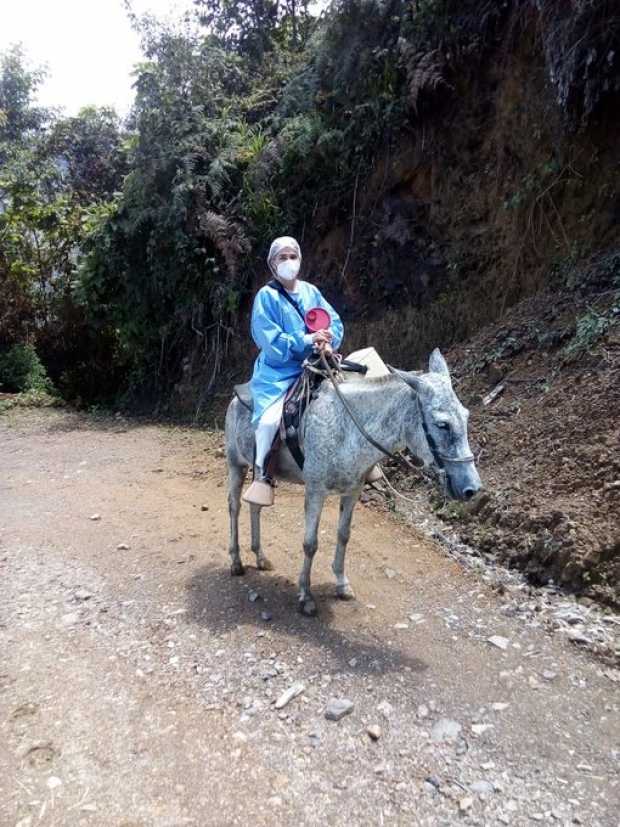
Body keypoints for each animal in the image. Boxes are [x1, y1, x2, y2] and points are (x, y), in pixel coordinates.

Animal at [225, 348, 482, 616]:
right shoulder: (315, 491)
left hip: (260, 471)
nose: (472, 488)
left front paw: (342, 584)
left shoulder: (353, 491)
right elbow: (310, 543)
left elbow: (343, 535)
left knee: (255, 506)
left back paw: (260, 557)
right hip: (236, 464)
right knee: (235, 507)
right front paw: (305, 595)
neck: (346, 429)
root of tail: (236, 396)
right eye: (442, 424)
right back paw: (236, 561)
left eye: (465, 416)